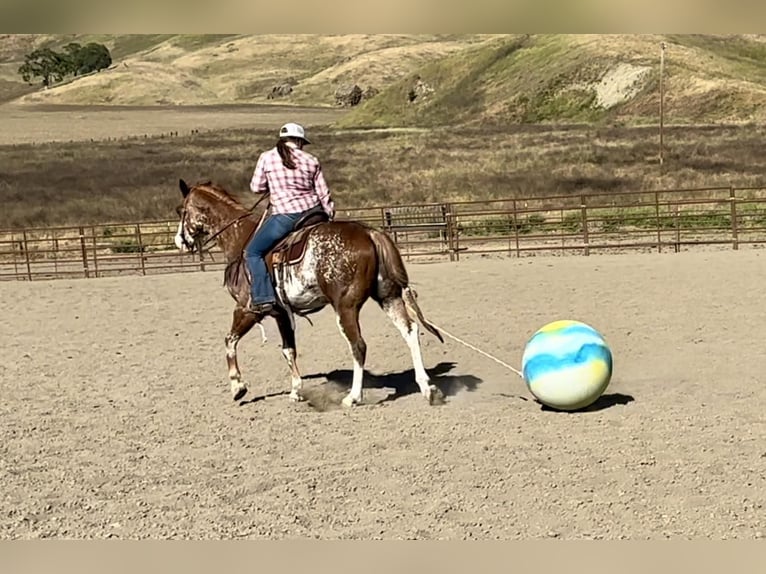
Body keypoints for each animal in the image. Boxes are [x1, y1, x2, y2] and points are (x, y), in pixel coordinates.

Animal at [173, 180, 444, 410]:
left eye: (181, 211)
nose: (179, 241)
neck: (241, 239)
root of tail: (369, 233)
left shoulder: (246, 309)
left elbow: (229, 341)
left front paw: (238, 387)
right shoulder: (281, 313)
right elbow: (288, 350)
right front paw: (296, 390)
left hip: (345, 307)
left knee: (358, 345)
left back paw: (353, 397)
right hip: (388, 297)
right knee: (410, 331)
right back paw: (428, 389)